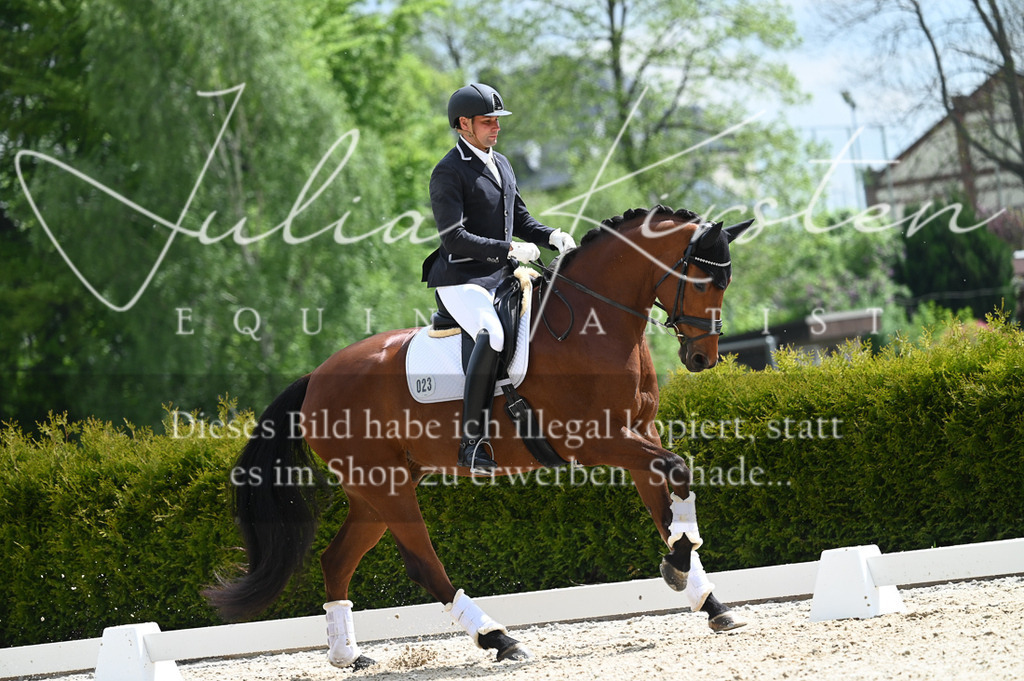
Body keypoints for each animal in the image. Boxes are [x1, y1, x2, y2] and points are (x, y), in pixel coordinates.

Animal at [204, 205, 754, 669]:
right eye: (701, 280)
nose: (702, 358)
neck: (594, 326)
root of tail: (314, 378)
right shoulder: (597, 439)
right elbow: (678, 468)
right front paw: (681, 564)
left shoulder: (639, 432)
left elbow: (667, 505)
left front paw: (703, 593)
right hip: (385, 486)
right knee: (423, 565)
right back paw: (500, 639)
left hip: (375, 489)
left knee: (336, 560)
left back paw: (348, 656)